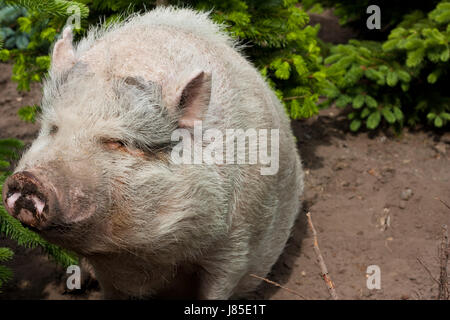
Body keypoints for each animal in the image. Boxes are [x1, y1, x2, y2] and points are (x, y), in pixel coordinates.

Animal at [1, 6, 304, 298]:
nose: (28, 180)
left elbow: (217, 289)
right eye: (54, 128)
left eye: (119, 142)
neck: (140, 257)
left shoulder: (234, 245)